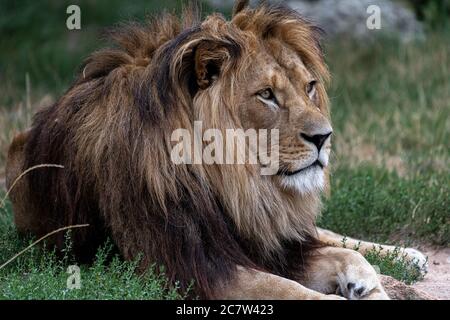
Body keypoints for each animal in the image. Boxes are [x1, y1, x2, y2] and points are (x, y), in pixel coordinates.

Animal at [5, 1, 426, 298]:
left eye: (308, 87)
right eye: (267, 95)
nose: (325, 137)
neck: (231, 185)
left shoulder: (266, 243)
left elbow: (336, 250)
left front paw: (370, 282)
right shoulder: (193, 267)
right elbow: (292, 290)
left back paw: (408, 257)